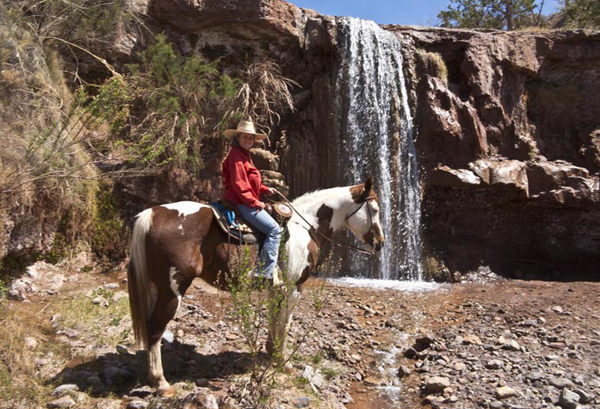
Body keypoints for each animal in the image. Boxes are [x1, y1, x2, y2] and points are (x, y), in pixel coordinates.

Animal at [129, 177, 386, 394]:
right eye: (374, 210)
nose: (381, 243)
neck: (306, 226)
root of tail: (152, 213)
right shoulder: (295, 287)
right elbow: (285, 324)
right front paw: (283, 362)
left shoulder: (277, 288)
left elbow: (274, 319)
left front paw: (271, 352)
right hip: (173, 289)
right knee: (155, 328)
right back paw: (161, 383)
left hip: (156, 288)